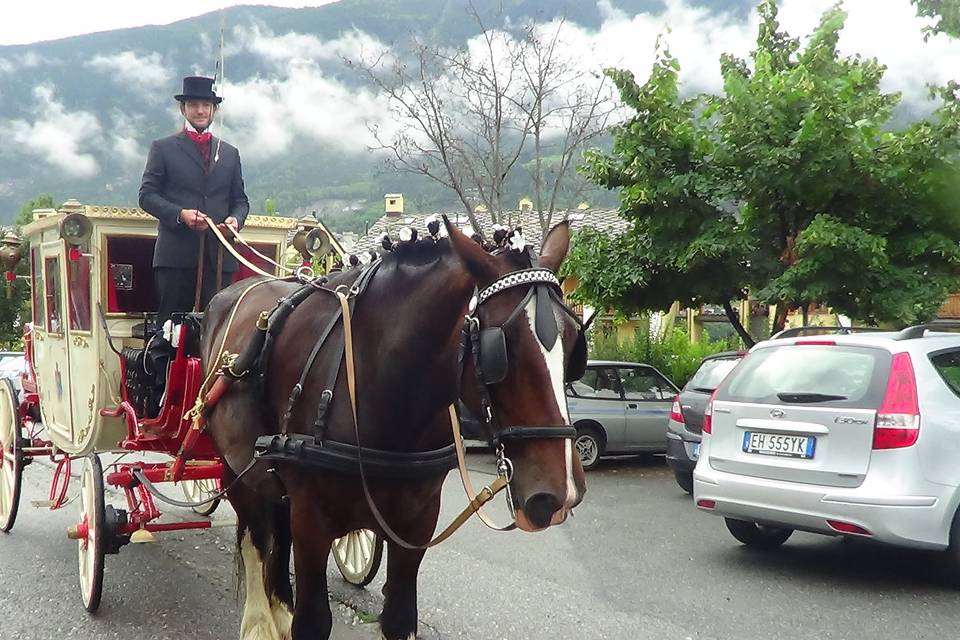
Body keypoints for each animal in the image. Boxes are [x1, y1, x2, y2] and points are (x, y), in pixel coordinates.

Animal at [201, 218, 584, 636]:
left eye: (574, 341)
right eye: (501, 348)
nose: (560, 494)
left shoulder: (416, 525)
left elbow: (400, 617)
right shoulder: (312, 522)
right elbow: (313, 621)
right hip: (236, 468)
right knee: (253, 540)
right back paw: (258, 621)